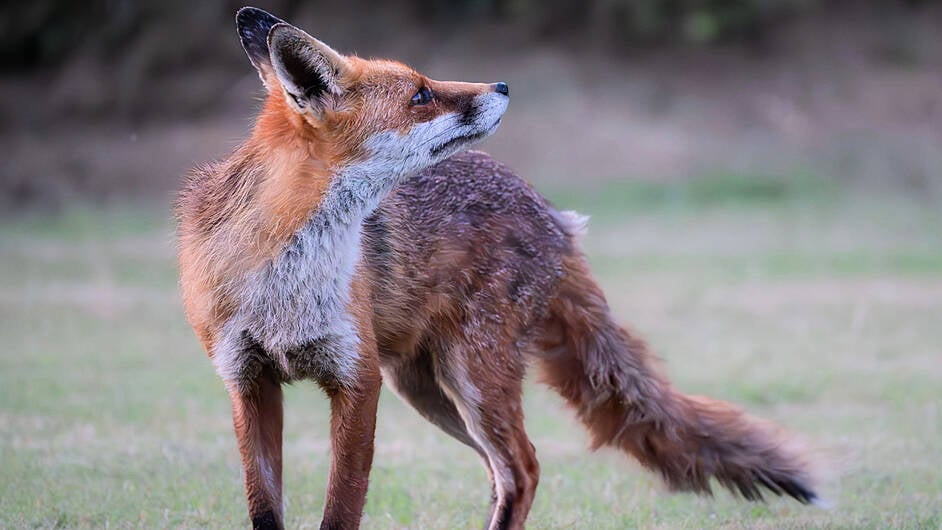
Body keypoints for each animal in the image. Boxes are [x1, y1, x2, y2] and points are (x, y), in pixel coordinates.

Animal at [177, 5, 824, 528]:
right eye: (420, 95)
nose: (504, 83)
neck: (284, 276)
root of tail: (546, 208)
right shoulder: (248, 381)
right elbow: (265, 509)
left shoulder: (355, 379)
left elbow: (342, 509)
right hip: (432, 391)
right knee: (501, 472)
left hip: (472, 378)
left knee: (524, 468)